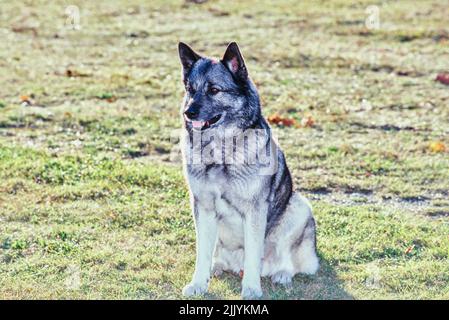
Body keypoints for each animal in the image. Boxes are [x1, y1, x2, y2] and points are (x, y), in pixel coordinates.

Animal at [178, 41, 318, 298]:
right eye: (190, 89)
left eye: (214, 90)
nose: (188, 112)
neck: (221, 151)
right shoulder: (203, 207)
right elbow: (202, 253)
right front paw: (199, 283)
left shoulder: (255, 211)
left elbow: (254, 254)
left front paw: (251, 288)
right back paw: (217, 266)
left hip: (300, 207)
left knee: (289, 260)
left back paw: (282, 273)